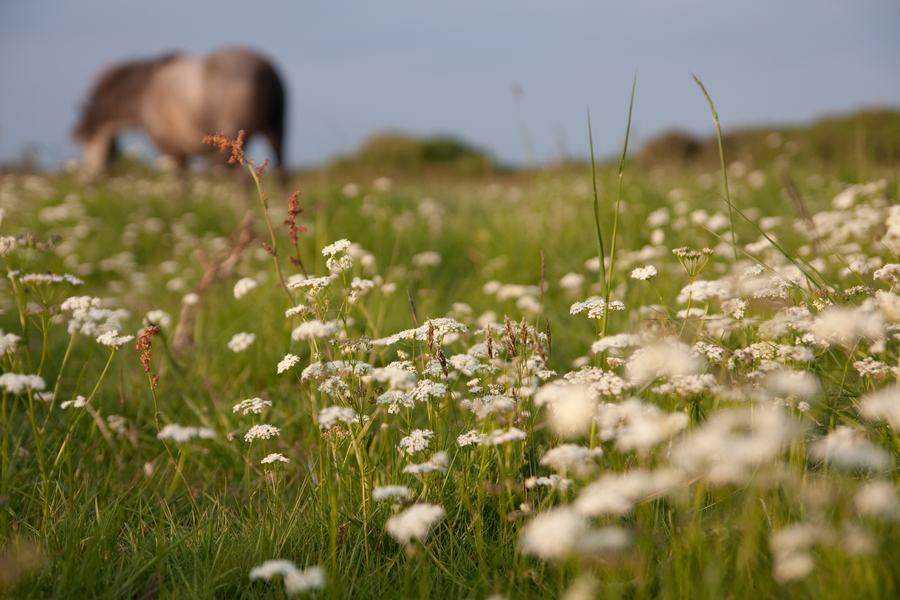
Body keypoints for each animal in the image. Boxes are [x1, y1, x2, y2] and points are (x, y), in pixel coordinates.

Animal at [72, 47, 286, 180]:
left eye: (85, 141)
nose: (90, 180)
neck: (144, 91)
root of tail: (265, 68)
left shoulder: (170, 148)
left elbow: (181, 185)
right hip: (275, 130)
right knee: (281, 173)